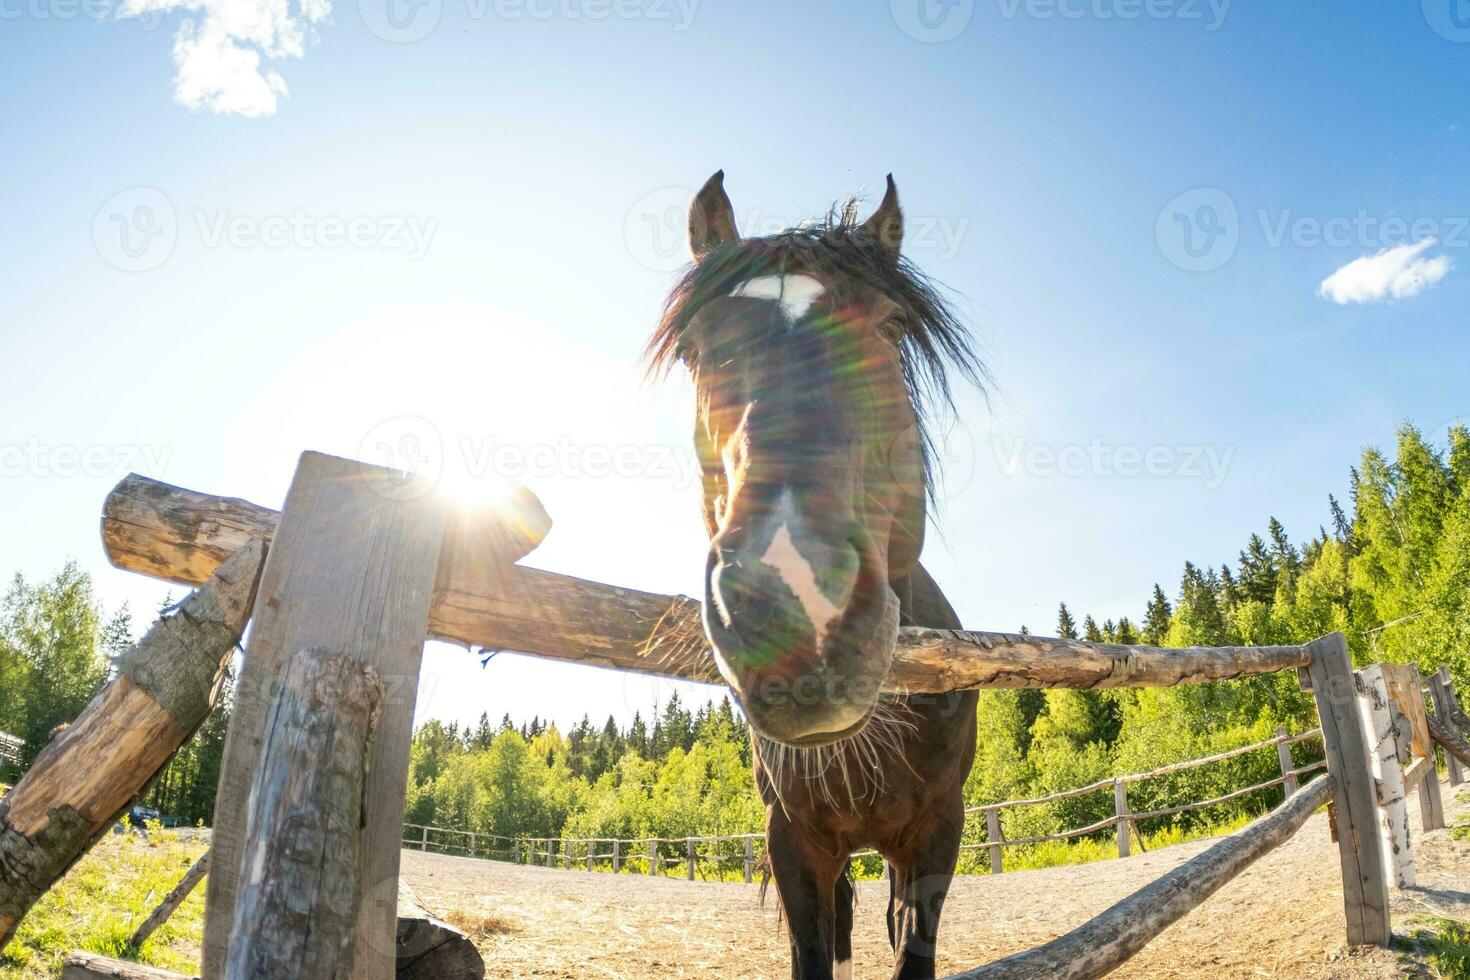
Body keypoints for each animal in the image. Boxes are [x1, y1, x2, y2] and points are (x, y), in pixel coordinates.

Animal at [649, 172, 981, 975]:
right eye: (693, 349)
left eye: (891, 328)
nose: (794, 611)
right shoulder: (793, 841)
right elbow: (814, 949)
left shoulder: (938, 832)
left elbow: (913, 947)